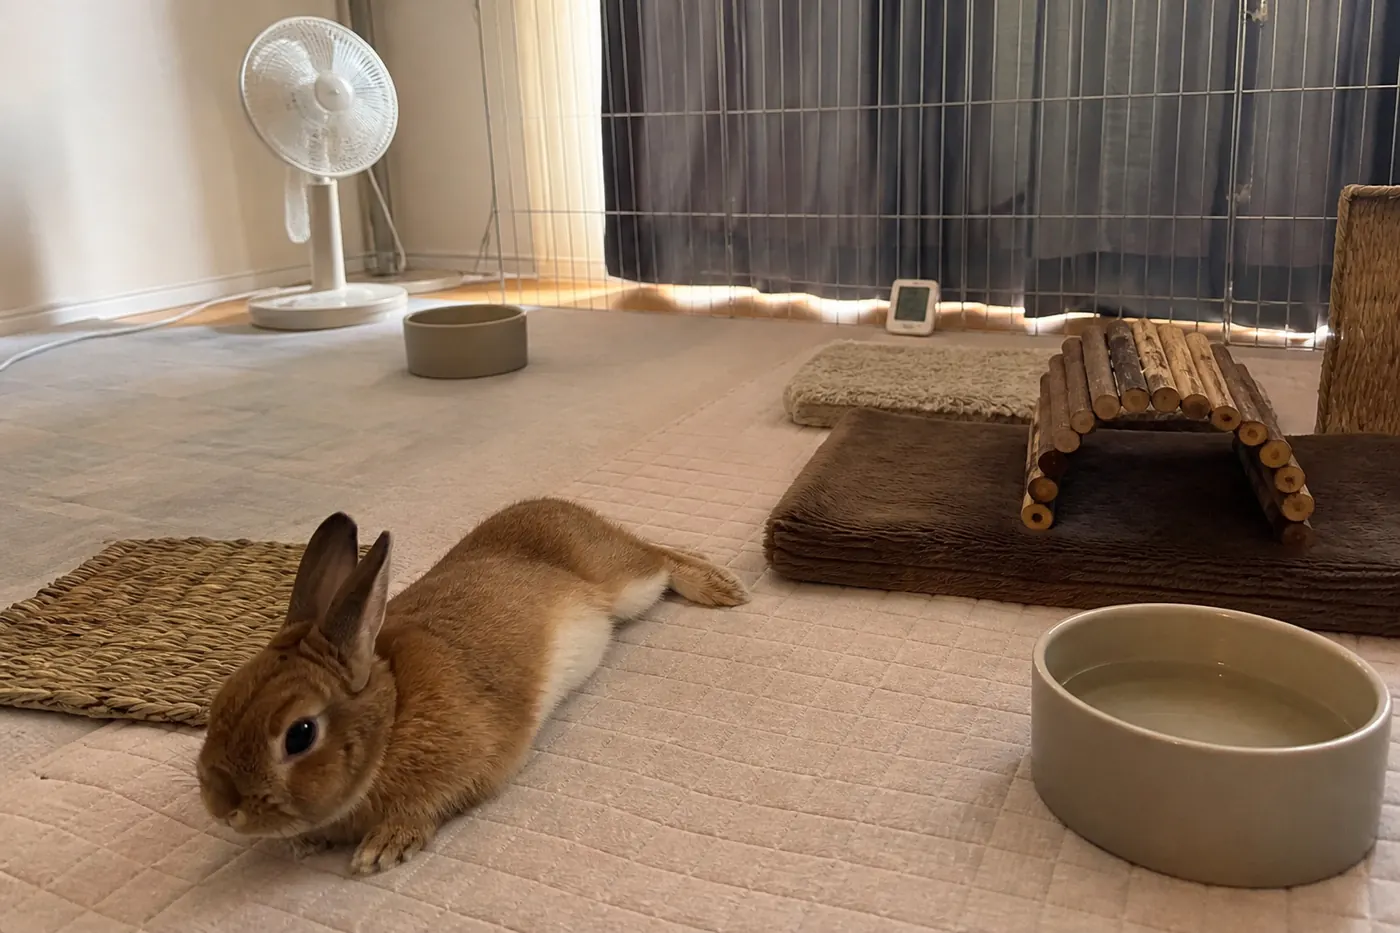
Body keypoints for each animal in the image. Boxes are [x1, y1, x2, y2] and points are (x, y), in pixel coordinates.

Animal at [195, 496, 749, 875]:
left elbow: (433, 805)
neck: (392, 714)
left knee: (662, 557)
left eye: (300, 734)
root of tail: (563, 506)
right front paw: (301, 844)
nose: (224, 810)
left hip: (627, 587)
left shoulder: (470, 764)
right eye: (219, 703)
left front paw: (383, 848)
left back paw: (723, 589)